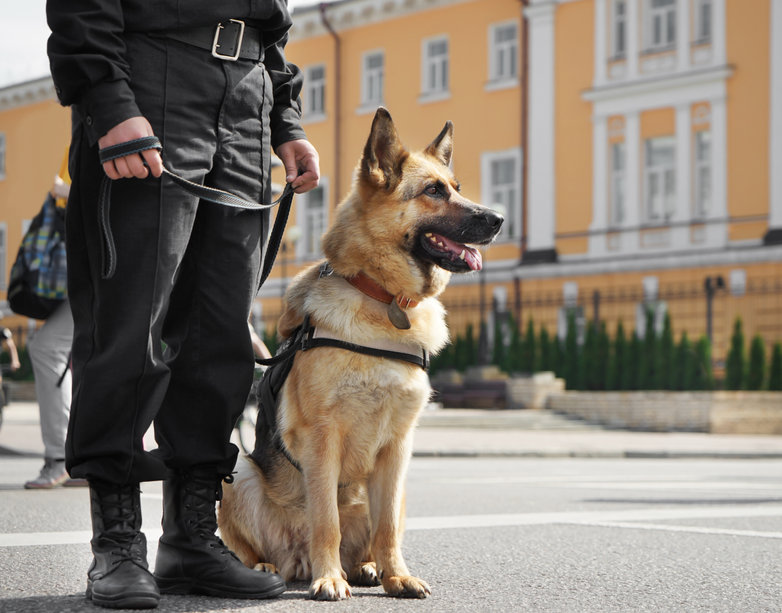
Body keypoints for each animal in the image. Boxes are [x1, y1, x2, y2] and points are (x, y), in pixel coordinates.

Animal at [217, 109, 506, 596]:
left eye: (456, 186)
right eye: (433, 191)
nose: (500, 218)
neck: (383, 299)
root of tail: (295, 562)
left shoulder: (398, 449)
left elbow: (386, 526)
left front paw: (397, 575)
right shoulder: (323, 439)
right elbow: (325, 520)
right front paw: (330, 579)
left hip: (402, 488)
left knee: (373, 533)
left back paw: (368, 567)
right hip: (237, 471)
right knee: (253, 545)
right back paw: (267, 568)